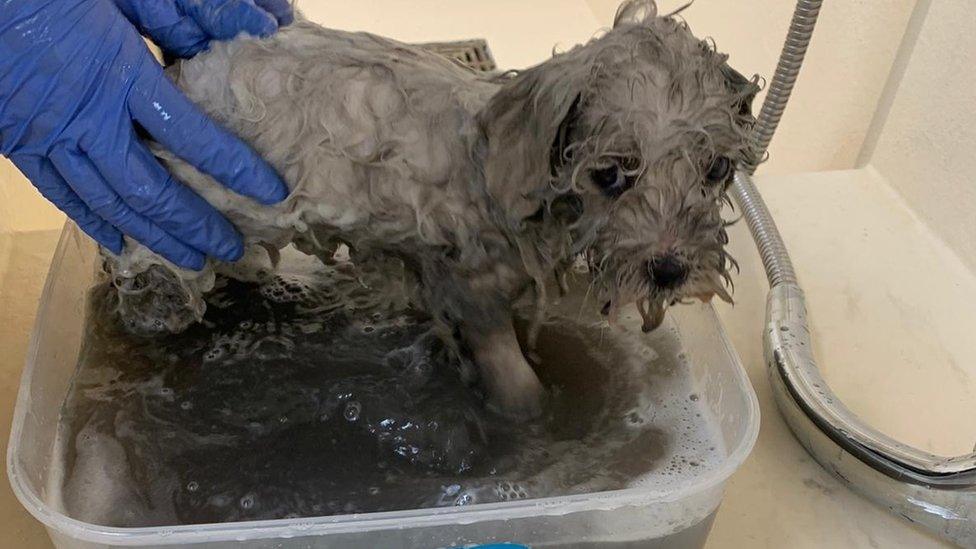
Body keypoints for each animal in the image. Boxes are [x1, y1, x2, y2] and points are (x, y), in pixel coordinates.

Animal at [108, 0, 764, 418]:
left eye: (717, 169)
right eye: (611, 174)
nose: (671, 270)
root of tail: (175, 75)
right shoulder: (466, 285)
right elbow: (515, 383)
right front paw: (535, 420)